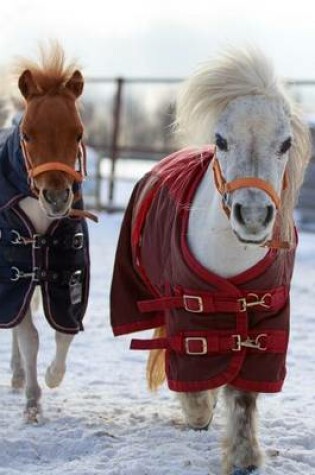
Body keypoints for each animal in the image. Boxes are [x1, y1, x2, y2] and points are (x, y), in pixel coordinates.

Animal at [148, 49, 312, 475]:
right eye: (220, 140)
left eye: (286, 143)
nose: (252, 216)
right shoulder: (187, 306)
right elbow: (193, 371)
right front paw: (199, 411)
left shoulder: (269, 316)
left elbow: (243, 393)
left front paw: (244, 457)